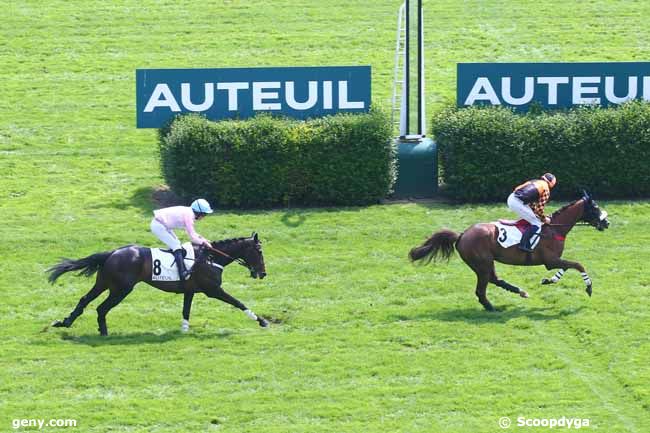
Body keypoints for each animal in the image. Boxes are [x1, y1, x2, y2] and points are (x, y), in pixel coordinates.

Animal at [46, 233, 268, 334]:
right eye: (259, 251)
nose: (263, 273)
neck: (211, 258)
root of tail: (112, 253)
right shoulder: (213, 290)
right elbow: (238, 302)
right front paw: (262, 321)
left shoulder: (190, 291)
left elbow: (186, 310)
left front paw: (184, 330)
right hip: (121, 289)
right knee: (101, 308)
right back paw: (104, 332)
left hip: (104, 283)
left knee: (84, 300)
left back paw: (65, 322)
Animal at [410, 191, 608, 308]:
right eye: (595, 208)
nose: (606, 222)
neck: (554, 229)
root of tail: (461, 235)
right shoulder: (550, 260)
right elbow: (578, 265)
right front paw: (589, 288)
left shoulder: (553, 261)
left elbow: (567, 267)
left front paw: (548, 281)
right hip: (482, 263)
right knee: (482, 288)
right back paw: (491, 307)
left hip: (485, 263)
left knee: (494, 279)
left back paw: (520, 292)